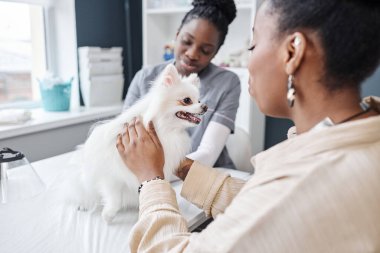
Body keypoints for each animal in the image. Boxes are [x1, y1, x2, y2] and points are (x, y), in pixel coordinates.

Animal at [74, 64, 208, 222]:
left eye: (198, 100)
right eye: (187, 100)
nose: (205, 106)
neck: (165, 129)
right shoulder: (110, 175)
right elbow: (114, 196)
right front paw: (109, 214)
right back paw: (83, 203)